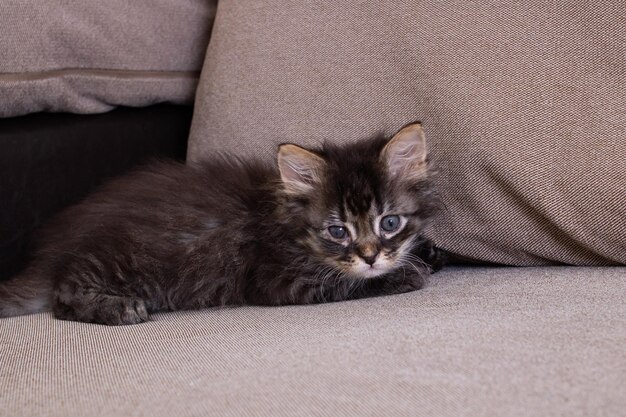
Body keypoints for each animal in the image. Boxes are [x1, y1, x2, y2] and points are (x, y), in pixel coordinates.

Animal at [0, 122, 438, 324]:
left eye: (389, 223)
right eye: (338, 231)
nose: (370, 256)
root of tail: (53, 251)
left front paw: (430, 253)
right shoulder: (278, 279)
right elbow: (346, 282)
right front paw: (404, 275)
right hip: (124, 262)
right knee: (63, 295)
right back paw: (116, 307)